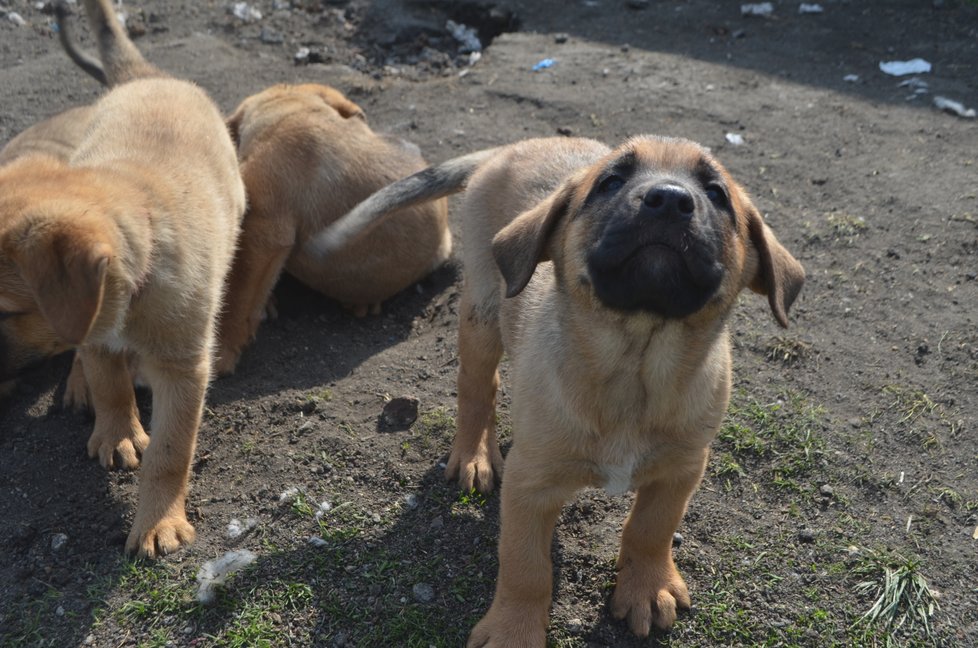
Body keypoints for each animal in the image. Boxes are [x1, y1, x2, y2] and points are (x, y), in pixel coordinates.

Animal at [0, 0, 244, 556]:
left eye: (4, 312)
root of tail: (149, 77)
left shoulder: (183, 369)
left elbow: (170, 453)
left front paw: (158, 522)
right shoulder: (93, 330)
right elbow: (109, 383)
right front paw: (117, 433)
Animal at [312, 135, 800, 644]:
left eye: (717, 193)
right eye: (610, 182)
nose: (668, 200)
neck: (634, 370)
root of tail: (514, 146)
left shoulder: (681, 469)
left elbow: (651, 529)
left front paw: (645, 588)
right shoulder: (530, 485)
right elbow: (526, 567)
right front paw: (514, 630)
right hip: (483, 312)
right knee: (477, 387)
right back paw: (473, 455)